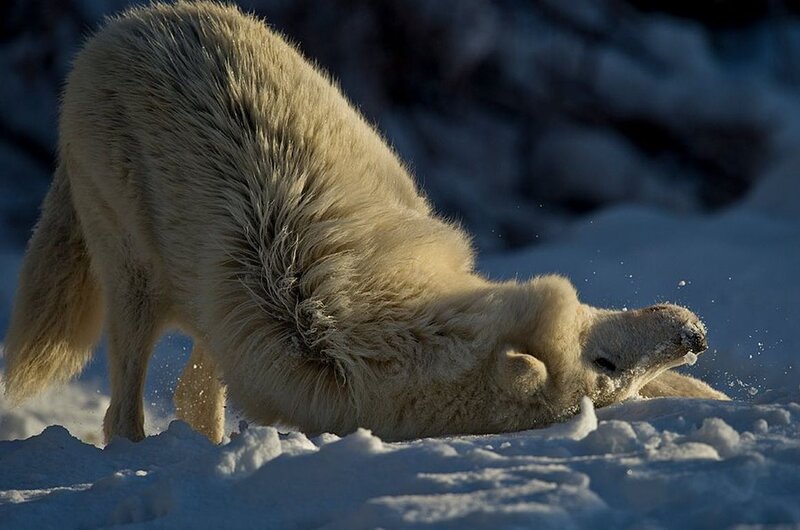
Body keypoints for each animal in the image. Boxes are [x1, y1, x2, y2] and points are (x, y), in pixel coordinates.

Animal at [2, 2, 726, 444]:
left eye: (612, 383)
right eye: (603, 363)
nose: (694, 334)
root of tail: (117, 28)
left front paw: (705, 397)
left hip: (208, 307)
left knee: (187, 393)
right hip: (133, 279)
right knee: (123, 409)